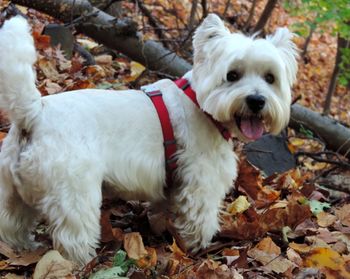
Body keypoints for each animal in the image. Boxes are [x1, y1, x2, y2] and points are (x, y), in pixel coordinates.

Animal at [0, 14, 296, 266]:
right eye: (232, 75)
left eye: (270, 78)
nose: (256, 100)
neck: (201, 105)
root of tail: (34, 115)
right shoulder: (202, 180)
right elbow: (199, 218)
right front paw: (196, 248)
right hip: (74, 192)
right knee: (72, 236)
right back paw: (82, 261)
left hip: (12, 192)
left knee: (12, 225)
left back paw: (22, 248)